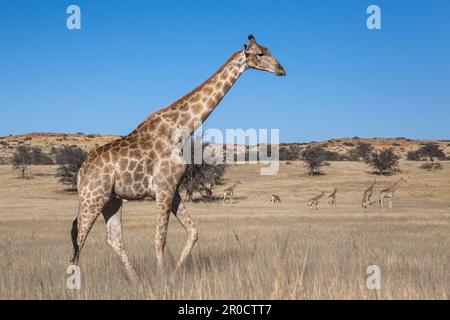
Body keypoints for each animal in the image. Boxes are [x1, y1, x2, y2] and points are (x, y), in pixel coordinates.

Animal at [68, 35, 286, 280]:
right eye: (260, 53)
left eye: (267, 50)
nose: (281, 69)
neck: (180, 129)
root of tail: (81, 172)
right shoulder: (163, 189)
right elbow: (160, 238)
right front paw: (162, 279)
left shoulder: (174, 191)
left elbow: (193, 231)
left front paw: (173, 274)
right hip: (92, 198)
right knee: (78, 240)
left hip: (111, 200)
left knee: (114, 239)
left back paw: (136, 280)